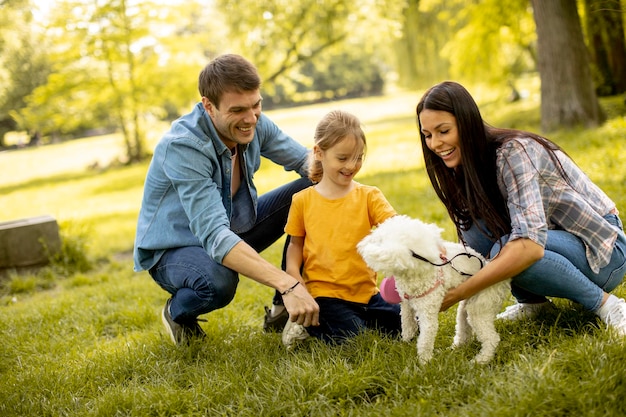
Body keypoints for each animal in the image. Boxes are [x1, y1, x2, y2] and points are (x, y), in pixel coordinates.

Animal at [356, 216, 508, 362]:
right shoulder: (406, 305)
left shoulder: (427, 313)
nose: (364, 245)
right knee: (463, 328)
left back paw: (481, 360)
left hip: (480, 305)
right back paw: (455, 348)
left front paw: (425, 363)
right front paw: (406, 342)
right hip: (466, 306)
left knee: (492, 338)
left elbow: (425, 341)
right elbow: (407, 324)